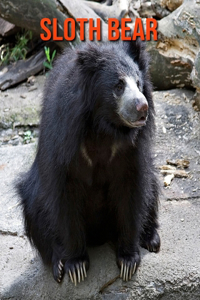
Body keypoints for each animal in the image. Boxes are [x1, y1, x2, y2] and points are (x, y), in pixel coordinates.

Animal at [17, 39, 161, 286]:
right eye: (119, 85)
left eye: (139, 83)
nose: (142, 107)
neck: (104, 127)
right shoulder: (64, 142)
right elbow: (65, 197)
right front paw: (76, 266)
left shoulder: (130, 150)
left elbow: (131, 191)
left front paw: (128, 260)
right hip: (33, 195)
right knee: (34, 206)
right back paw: (58, 262)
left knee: (151, 187)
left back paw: (151, 238)